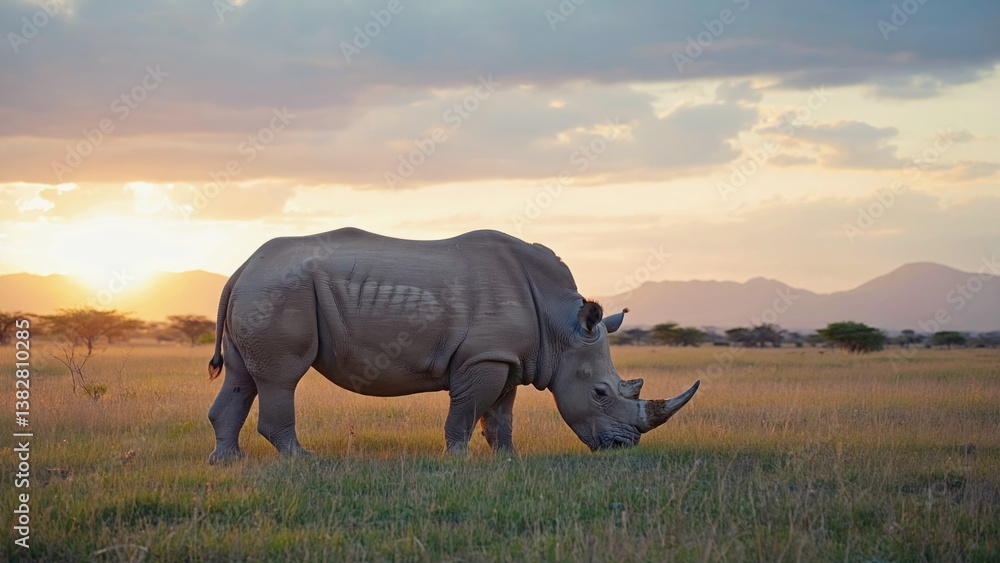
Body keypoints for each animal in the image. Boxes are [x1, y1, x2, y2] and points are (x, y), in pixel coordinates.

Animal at [207, 228, 699, 463]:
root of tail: (242, 266)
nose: (623, 447)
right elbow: (468, 407)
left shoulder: (509, 357)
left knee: (242, 376)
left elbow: (501, 414)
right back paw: (303, 460)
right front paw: (458, 458)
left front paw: (509, 459)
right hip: (278, 290)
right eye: (600, 392)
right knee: (281, 377)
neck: (561, 325)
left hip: (260, 290)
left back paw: (226, 462)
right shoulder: (484, 357)